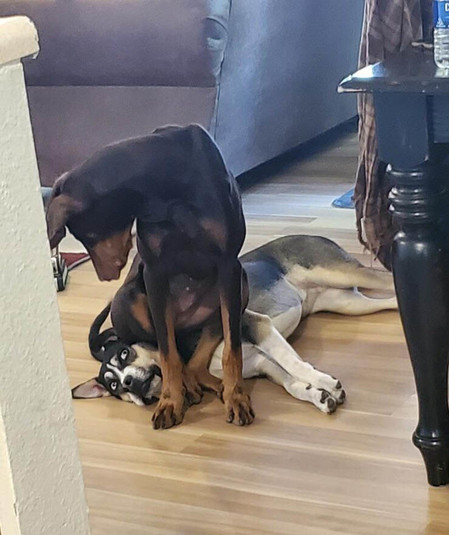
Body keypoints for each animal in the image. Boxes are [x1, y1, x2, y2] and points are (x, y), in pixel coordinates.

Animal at [46, 124, 253, 429]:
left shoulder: (228, 263)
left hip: (241, 284)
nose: (105, 275)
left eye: (87, 235)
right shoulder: (155, 272)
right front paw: (171, 402)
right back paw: (190, 387)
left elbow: (232, 350)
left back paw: (214, 386)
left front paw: (237, 397)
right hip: (128, 298)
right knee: (171, 350)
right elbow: (167, 354)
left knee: (202, 350)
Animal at [72, 235, 398, 414]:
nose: (130, 382)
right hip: (347, 303)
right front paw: (319, 396)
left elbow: (295, 364)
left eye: (124, 354)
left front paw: (324, 381)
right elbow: (291, 383)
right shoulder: (262, 364)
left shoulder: (257, 325)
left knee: (389, 279)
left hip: (339, 273)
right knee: (391, 299)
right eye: (114, 385)